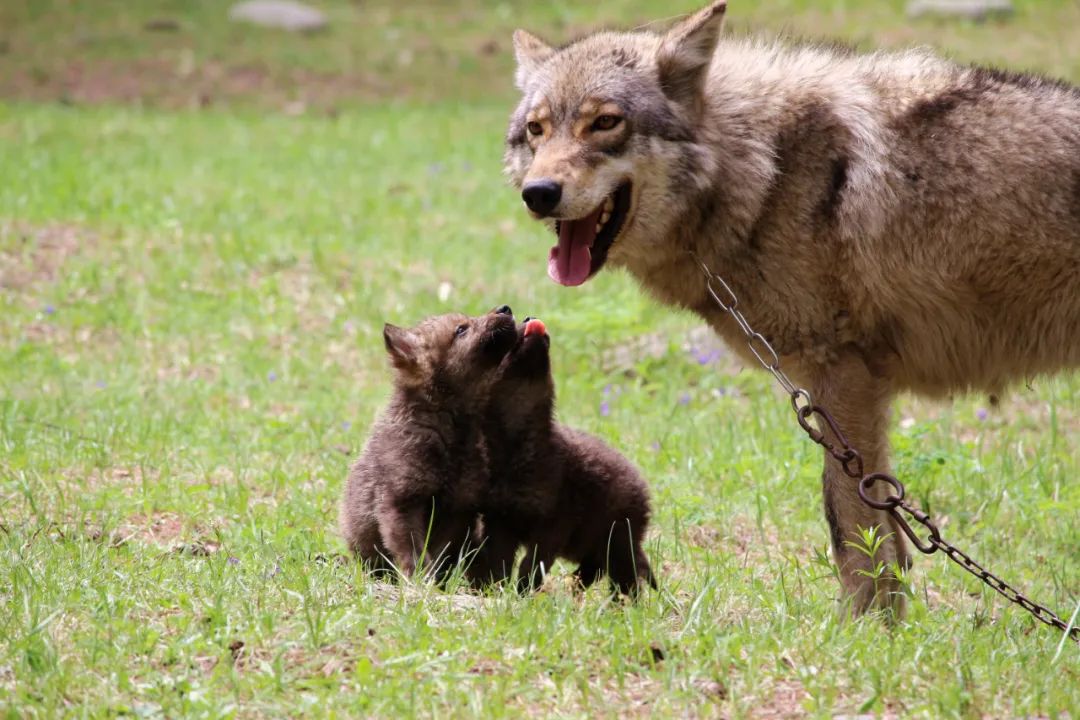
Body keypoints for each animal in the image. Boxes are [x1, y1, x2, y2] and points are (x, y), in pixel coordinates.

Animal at [341, 306, 518, 578]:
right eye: (461, 329)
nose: (505, 308)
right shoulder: (401, 503)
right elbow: (412, 551)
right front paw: (420, 581)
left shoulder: (456, 509)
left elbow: (436, 551)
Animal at [475, 317, 656, 595]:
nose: (531, 319)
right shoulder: (499, 520)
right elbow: (499, 563)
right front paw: (498, 591)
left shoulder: (556, 521)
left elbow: (532, 564)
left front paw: (523, 594)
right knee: (597, 571)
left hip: (618, 538)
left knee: (627, 579)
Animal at [503, 1, 1080, 621]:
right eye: (537, 130)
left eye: (605, 123)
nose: (539, 193)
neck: (763, 171)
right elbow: (879, 530)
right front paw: (886, 627)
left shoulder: (842, 377)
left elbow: (851, 526)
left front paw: (866, 631)